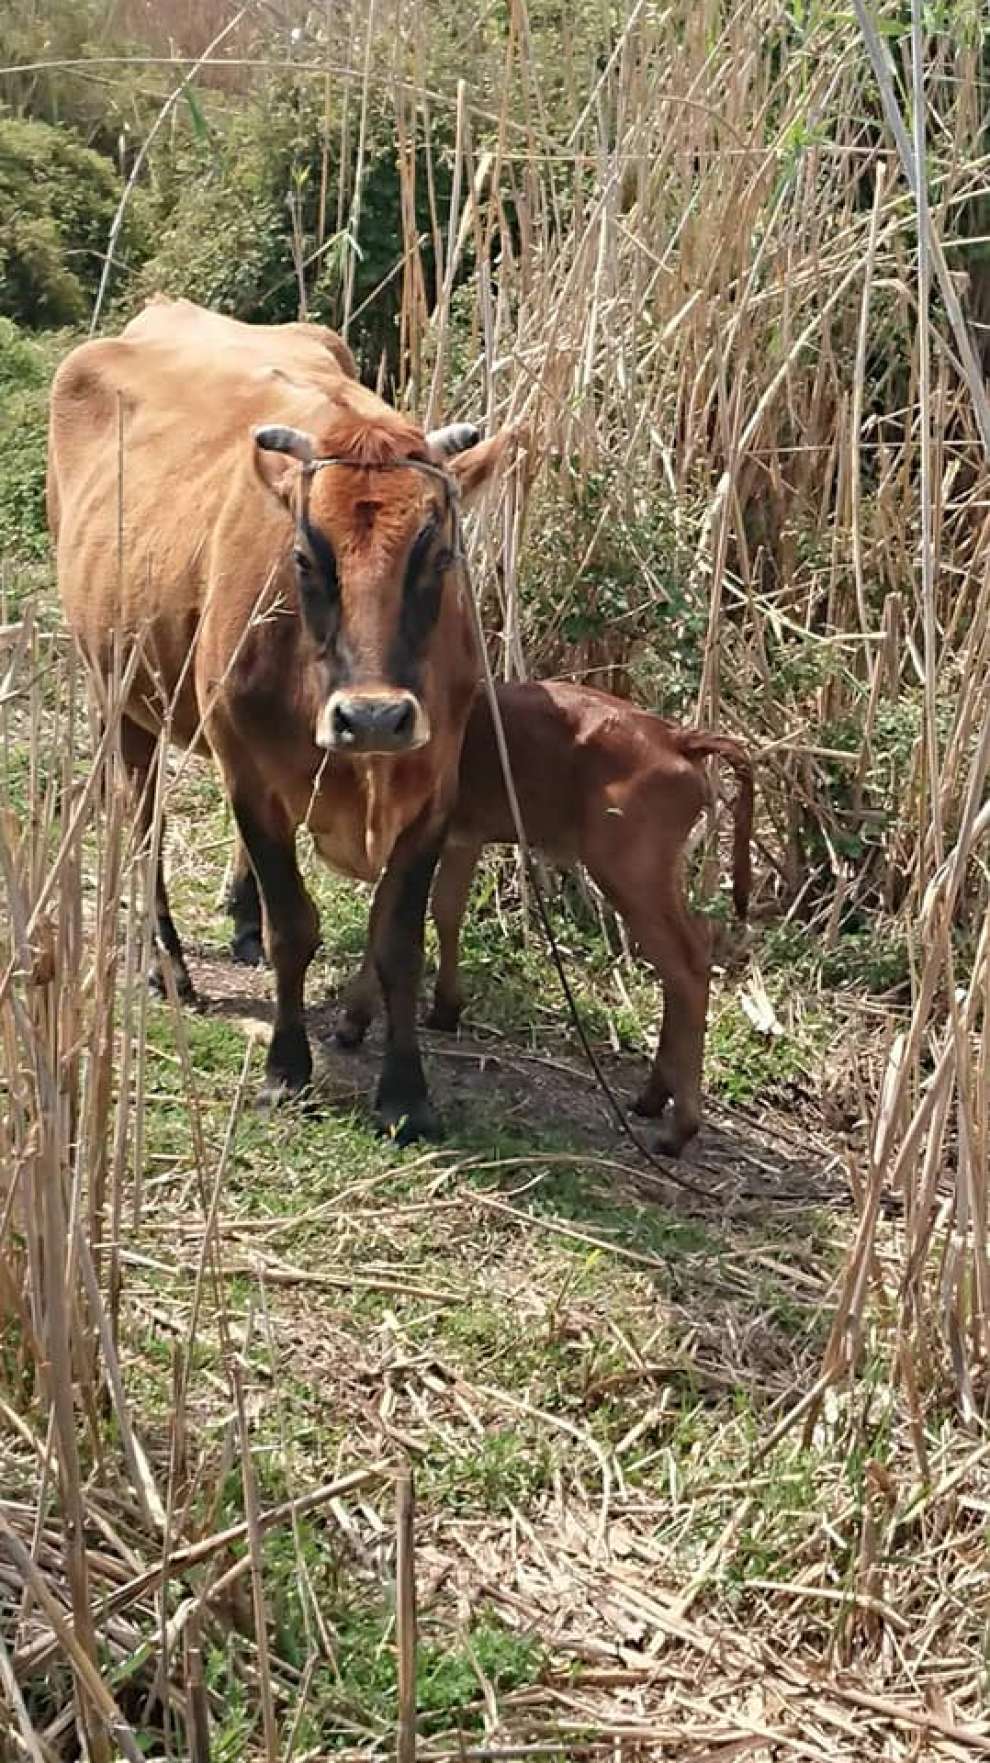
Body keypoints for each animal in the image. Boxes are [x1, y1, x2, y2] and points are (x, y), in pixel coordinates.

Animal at [47, 296, 515, 1142]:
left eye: (439, 554)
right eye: (304, 557)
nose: (374, 718)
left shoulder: (436, 785)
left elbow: (399, 942)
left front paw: (406, 1091)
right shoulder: (249, 778)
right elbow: (294, 925)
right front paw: (285, 1069)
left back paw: (236, 913)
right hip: (117, 691)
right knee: (141, 821)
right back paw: (168, 963)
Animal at [336, 680, 754, 1155]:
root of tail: (676, 737)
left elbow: (386, 914)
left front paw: (353, 1020)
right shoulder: (463, 835)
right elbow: (445, 908)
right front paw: (444, 1008)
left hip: (628, 870)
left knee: (687, 967)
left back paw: (678, 1128)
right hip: (656, 874)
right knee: (689, 958)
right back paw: (652, 1097)